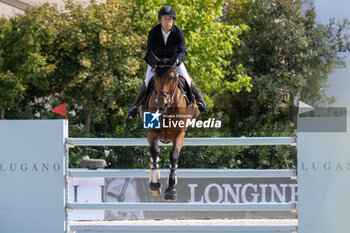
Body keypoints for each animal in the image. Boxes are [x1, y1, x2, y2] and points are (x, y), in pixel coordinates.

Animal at [139, 64, 200, 202]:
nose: (161, 104)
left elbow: (174, 155)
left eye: (172, 78)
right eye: (155, 78)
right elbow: (155, 151)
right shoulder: (152, 132)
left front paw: (171, 188)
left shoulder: (179, 133)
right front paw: (154, 183)